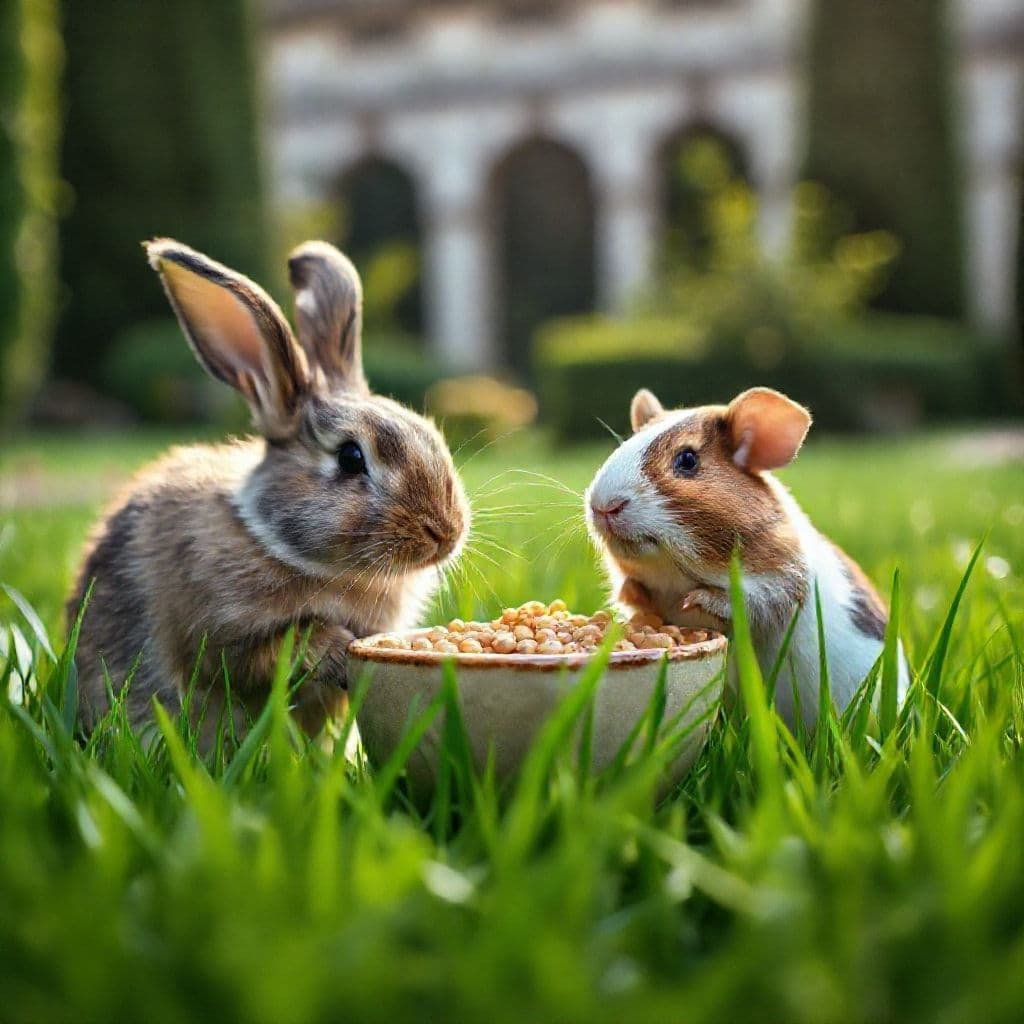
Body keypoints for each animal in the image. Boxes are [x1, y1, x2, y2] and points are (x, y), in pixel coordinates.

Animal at [66, 238, 469, 742]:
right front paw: (336, 650)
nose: (445, 533)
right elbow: (261, 656)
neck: (273, 540)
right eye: (350, 457)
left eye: (430, 433)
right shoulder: (222, 633)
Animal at [585, 386, 908, 728]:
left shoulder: (779, 588)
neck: (675, 574)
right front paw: (632, 592)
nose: (603, 506)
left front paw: (696, 600)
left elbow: (740, 602)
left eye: (687, 459)